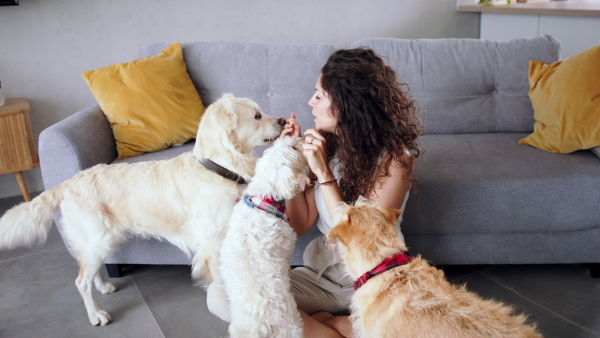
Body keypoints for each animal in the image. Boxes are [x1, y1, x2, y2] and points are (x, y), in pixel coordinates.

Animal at [0, 93, 286, 326]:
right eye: (257, 115)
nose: (283, 120)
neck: (218, 168)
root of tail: (70, 181)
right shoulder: (212, 246)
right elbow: (221, 283)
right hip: (98, 238)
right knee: (81, 281)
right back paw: (96, 314)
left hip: (101, 240)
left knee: (89, 269)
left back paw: (103, 285)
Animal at [223, 136, 312, 338]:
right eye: (294, 148)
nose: (303, 136)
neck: (264, 200)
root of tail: (262, 328)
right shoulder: (287, 246)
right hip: (293, 327)